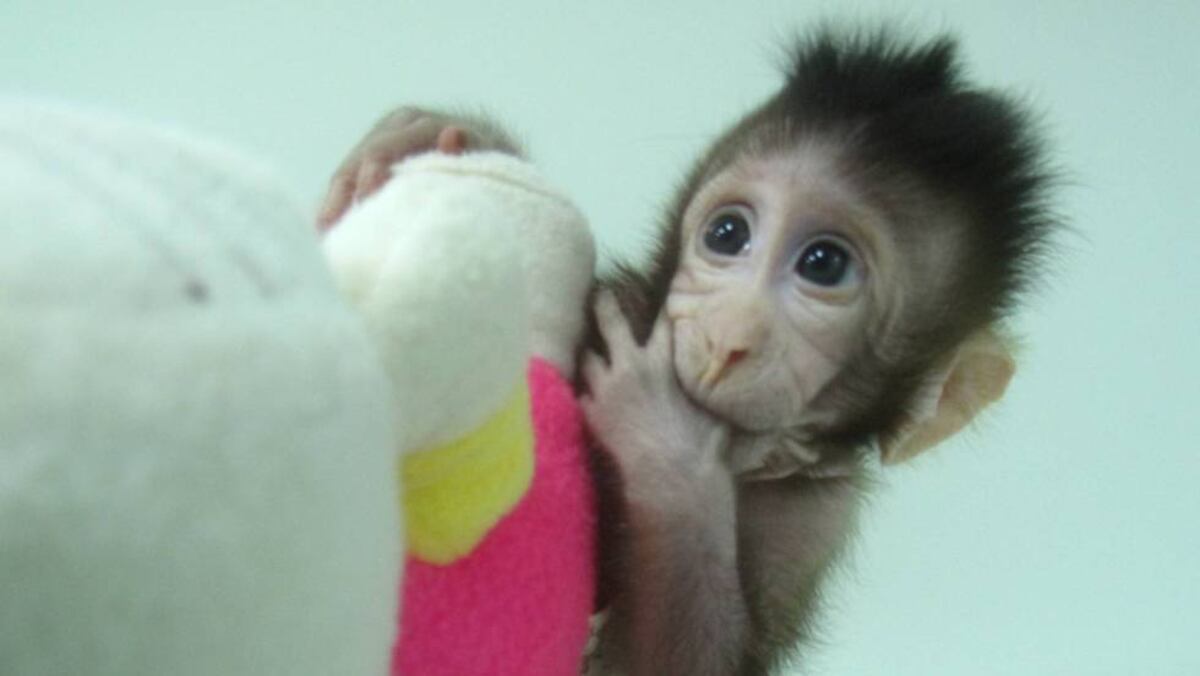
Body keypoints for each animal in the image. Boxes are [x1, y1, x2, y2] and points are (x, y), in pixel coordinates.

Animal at [318, 27, 1057, 675]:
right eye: (727, 234)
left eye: (824, 265)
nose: (729, 339)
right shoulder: (623, 303)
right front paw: (431, 132)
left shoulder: (816, 514)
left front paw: (664, 443)